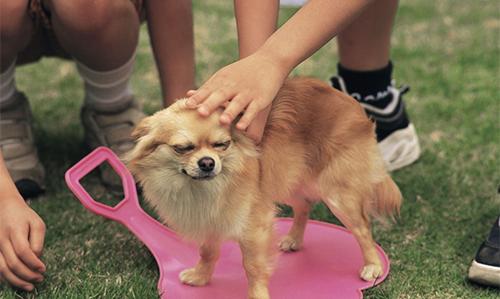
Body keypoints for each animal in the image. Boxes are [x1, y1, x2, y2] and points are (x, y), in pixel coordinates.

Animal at [125, 78, 402, 299]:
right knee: (304, 204)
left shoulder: (253, 226)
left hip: (338, 196)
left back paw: (373, 266)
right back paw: (294, 239)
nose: (207, 163)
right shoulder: (213, 220)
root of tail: (353, 105)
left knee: (362, 228)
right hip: (286, 180)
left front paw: (257, 295)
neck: (202, 189)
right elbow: (207, 251)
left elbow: (253, 267)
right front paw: (201, 277)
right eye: (182, 148)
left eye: (222, 145)